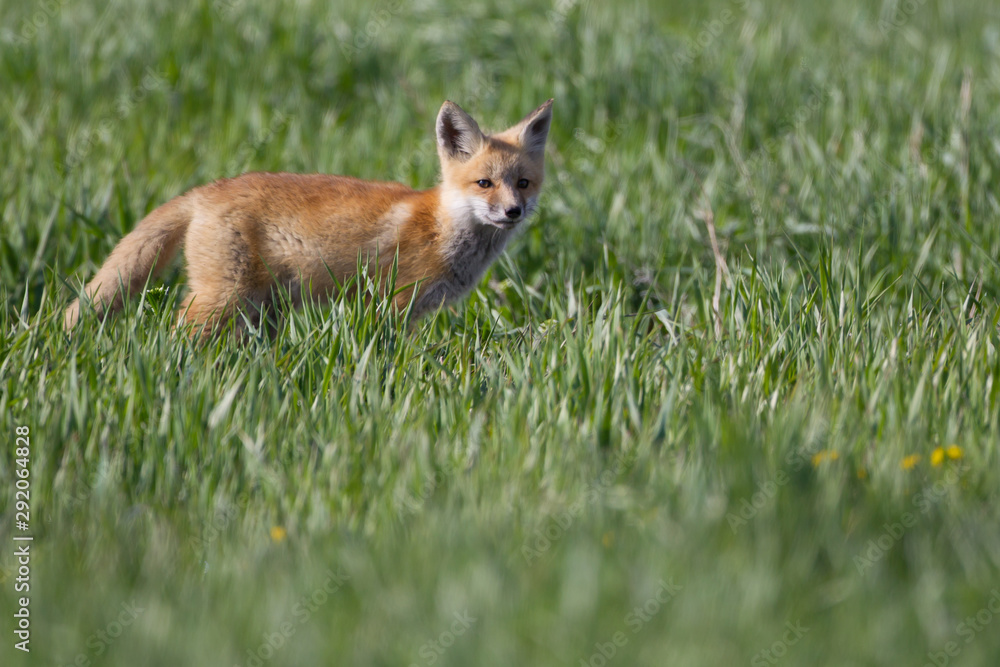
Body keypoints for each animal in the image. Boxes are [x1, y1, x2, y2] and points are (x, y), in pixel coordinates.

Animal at [64, 99, 553, 335]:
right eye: (484, 183)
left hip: (257, 308)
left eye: (523, 183)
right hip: (223, 299)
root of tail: (206, 190)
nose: (513, 211)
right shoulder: (392, 304)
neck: (440, 227)